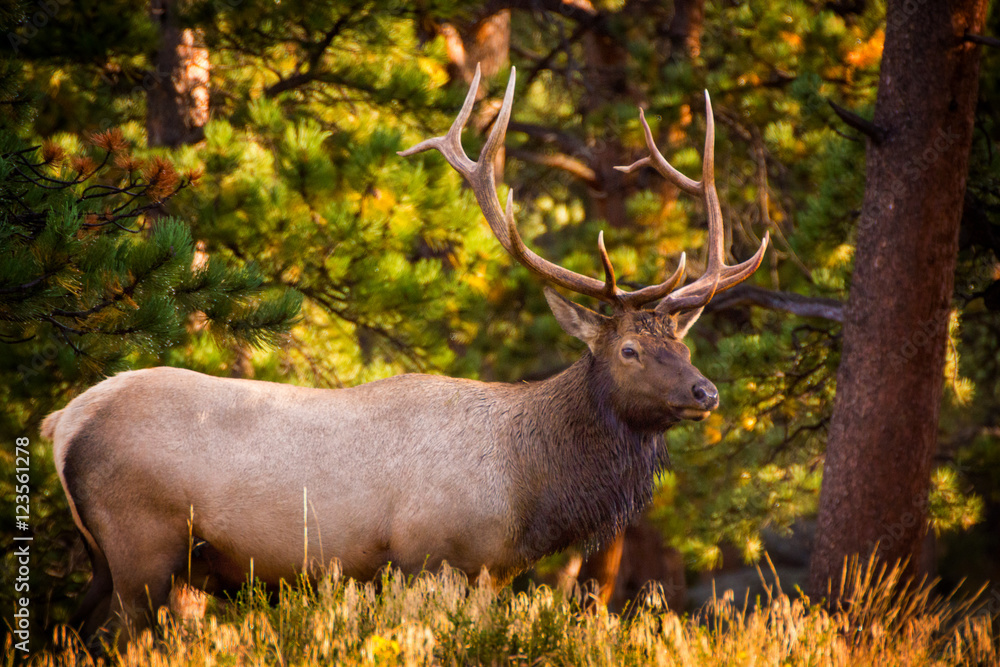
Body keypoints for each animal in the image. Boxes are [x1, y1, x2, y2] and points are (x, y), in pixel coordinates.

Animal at [41, 64, 767, 644]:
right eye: (630, 349)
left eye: (683, 342)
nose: (705, 392)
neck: (529, 490)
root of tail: (63, 421)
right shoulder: (431, 557)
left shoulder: (489, 574)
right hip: (141, 545)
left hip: (104, 557)